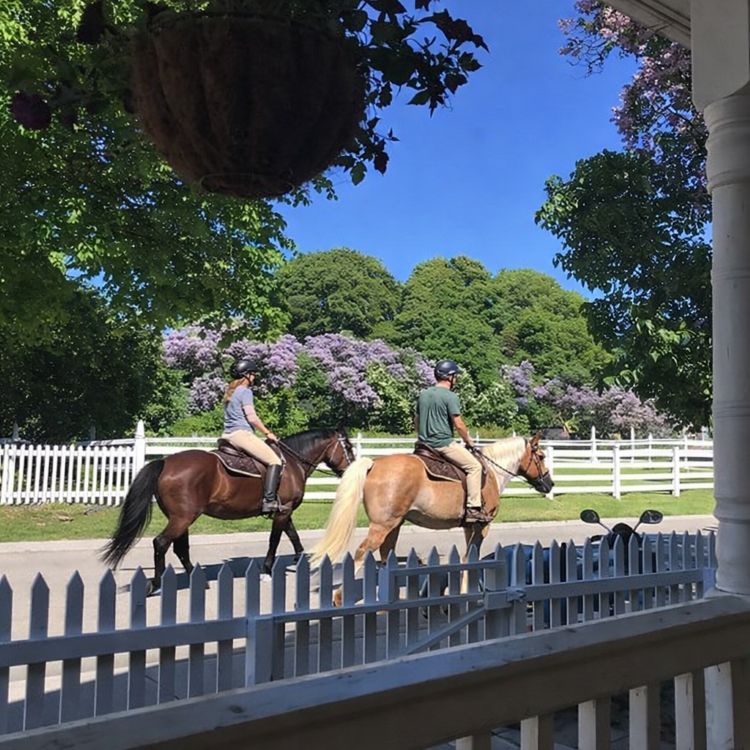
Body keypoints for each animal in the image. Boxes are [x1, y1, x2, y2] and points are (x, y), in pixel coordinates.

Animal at [101, 428, 355, 593]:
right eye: (349, 447)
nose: (353, 469)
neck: (291, 463)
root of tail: (166, 462)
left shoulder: (285, 510)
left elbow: (293, 536)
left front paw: (303, 561)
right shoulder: (283, 512)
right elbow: (275, 540)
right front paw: (267, 570)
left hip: (181, 517)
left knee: (179, 547)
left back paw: (197, 579)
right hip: (182, 518)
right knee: (161, 543)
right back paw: (156, 583)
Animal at [310, 434, 554, 576]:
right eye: (541, 456)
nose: (549, 484)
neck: (491, 471)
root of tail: (374, 464)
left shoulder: (469, 526)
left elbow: (467, 558)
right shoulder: (482, 525)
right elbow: (472, 557)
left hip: (393, 526)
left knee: (385, 555)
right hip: (382, 526)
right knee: (362, 553)